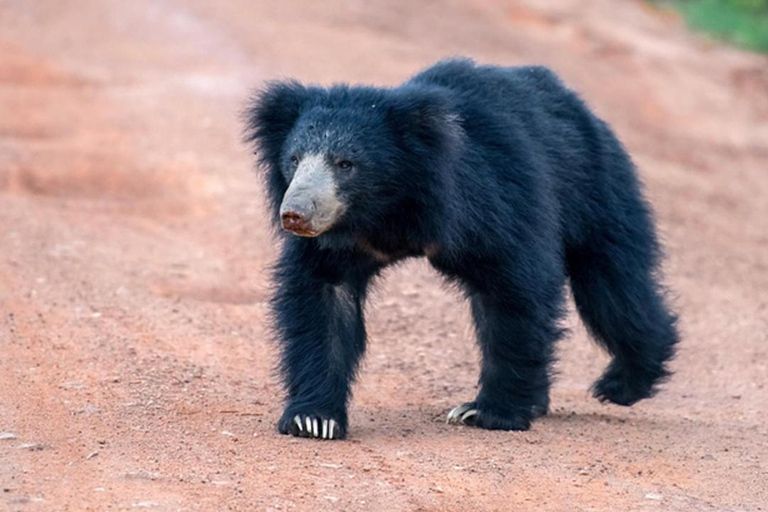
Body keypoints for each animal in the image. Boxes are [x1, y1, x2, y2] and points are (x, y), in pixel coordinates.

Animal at [244, 57, 680, 440]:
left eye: (346, 164)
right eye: (294, 159)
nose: (294, 214)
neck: (388, 211)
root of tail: (579, 106)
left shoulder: (491, 200)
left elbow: (515, 292)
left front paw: (487, 413)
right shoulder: (337, 242)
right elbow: (323, 301)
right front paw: (313, 419)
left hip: (596, 189)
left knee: (612, 289)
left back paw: (622, 383)